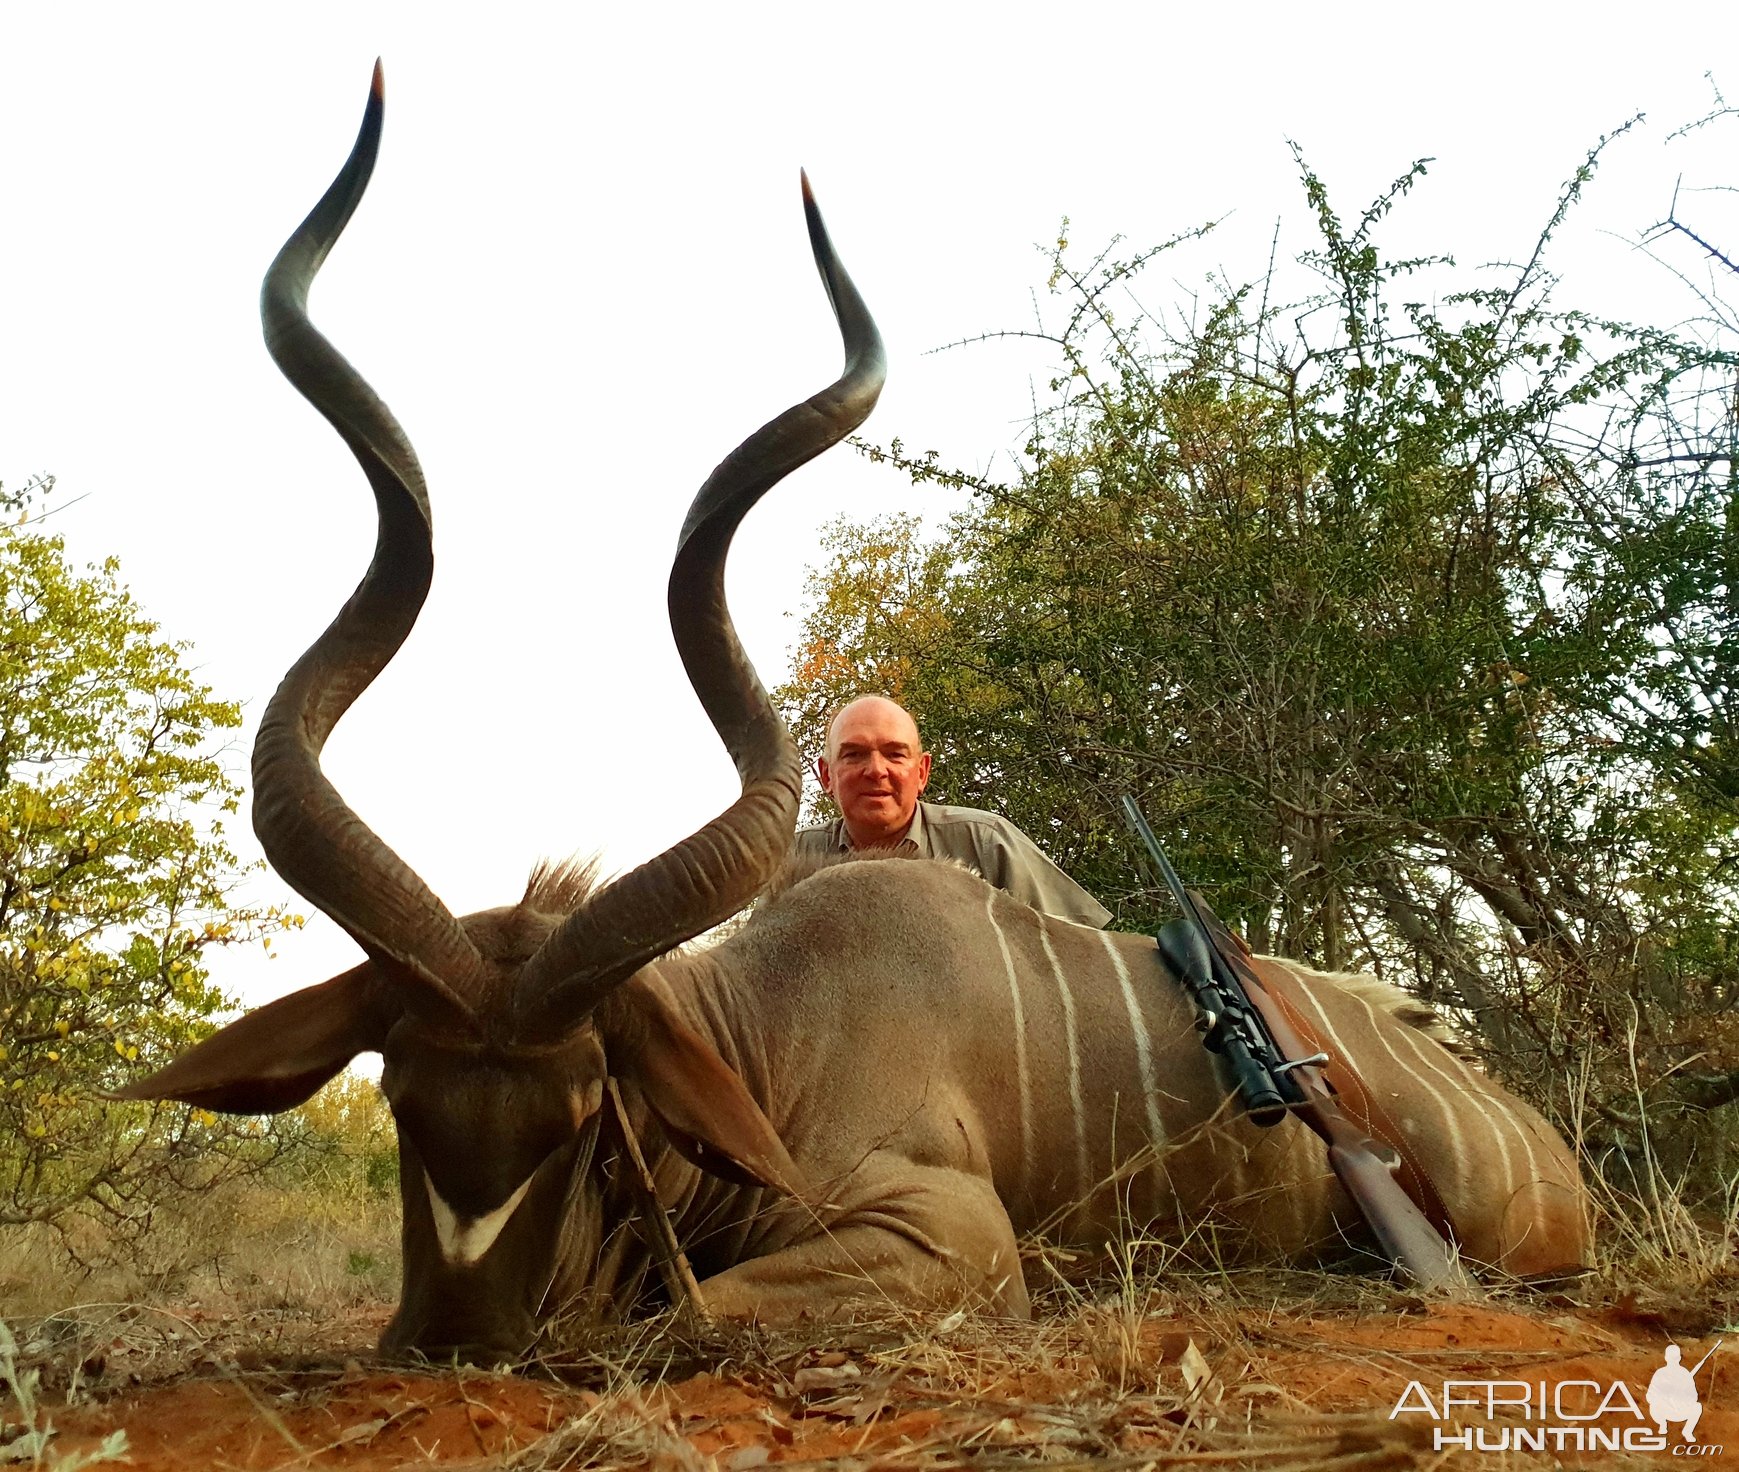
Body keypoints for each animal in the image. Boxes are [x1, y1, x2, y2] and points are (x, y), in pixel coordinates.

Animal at [119, 72, 1592, 1357]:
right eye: (395, 1088)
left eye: (588, 1100)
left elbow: (682, 1313)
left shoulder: (949, 1237)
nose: (455, 1336)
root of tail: (1529, 1130)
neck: (766, 1035)